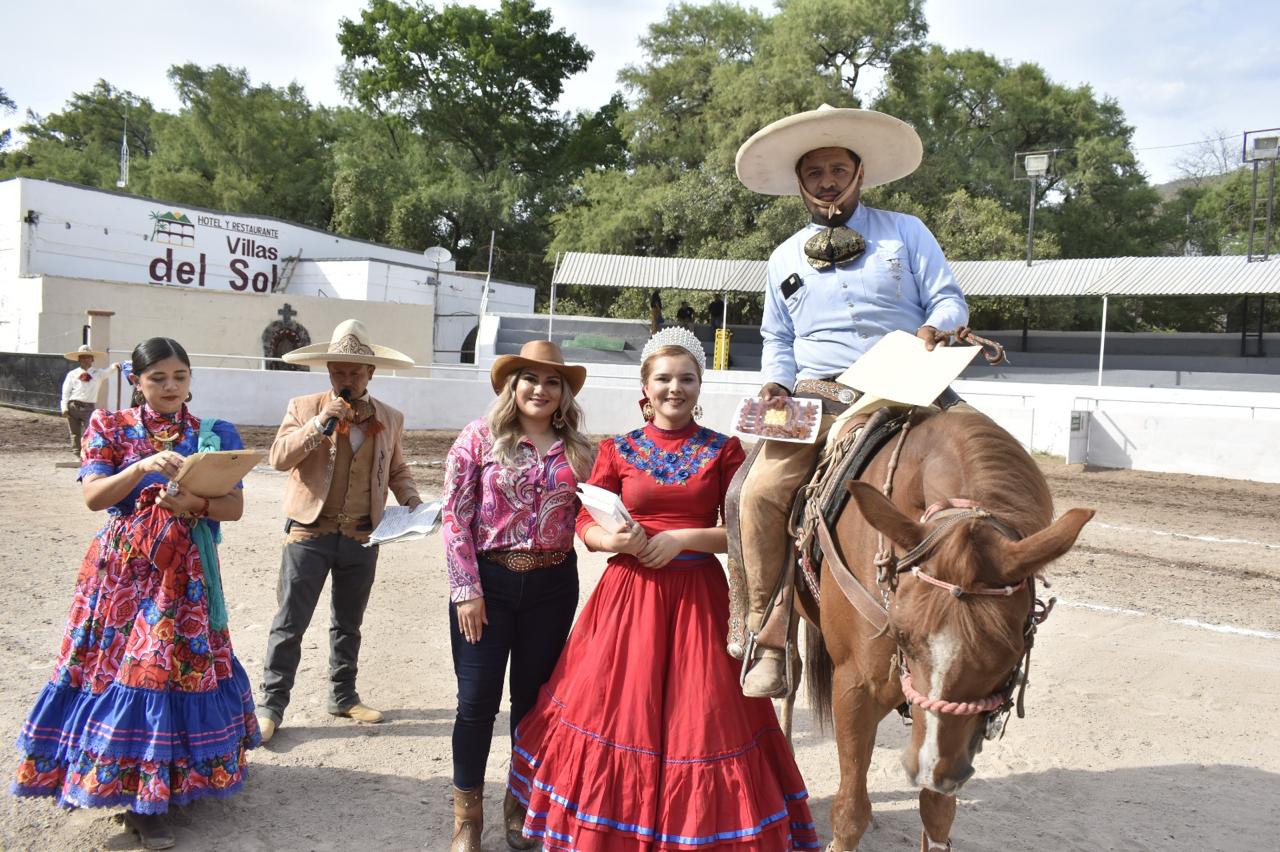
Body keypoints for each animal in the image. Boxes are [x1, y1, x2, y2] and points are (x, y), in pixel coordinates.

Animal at [798, 409, 1090, 844]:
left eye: (1010, 651)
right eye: (900, 634)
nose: (930, 768)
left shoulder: (955, 737)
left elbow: (937, 814)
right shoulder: (853, 688)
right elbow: (850, 812)